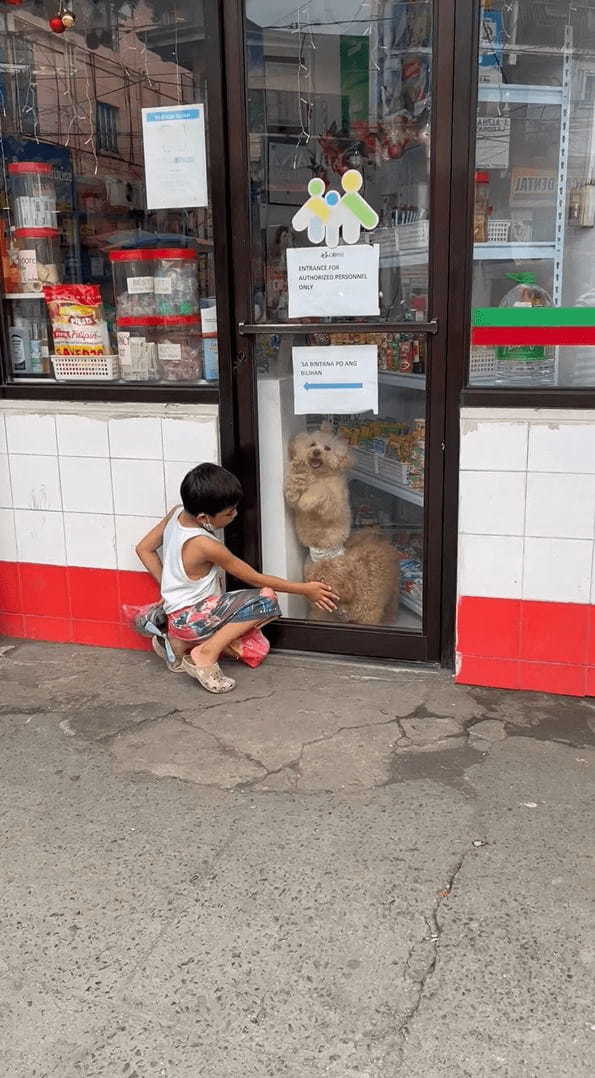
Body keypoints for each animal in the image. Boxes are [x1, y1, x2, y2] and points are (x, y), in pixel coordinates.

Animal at [284, 422, 396, 625]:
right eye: (313, 444)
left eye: (328, 448)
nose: (317, 452)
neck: (318, 475)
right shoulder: (293, 497)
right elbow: (293, 491)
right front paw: (297, 469)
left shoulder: (334, 502)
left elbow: (321, 494)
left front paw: (308, 500)